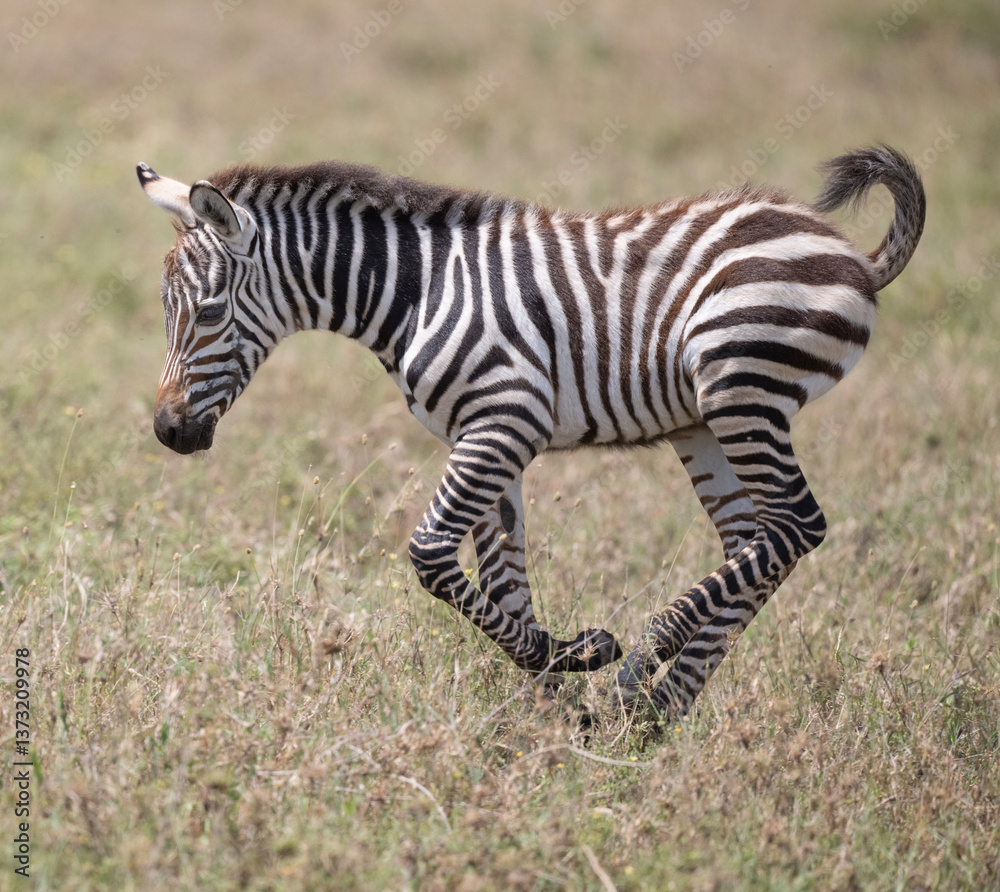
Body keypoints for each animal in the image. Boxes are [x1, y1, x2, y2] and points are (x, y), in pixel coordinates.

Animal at [136, 144, 924, 718]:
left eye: (208, 313)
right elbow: (503, 585)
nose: (169, 431)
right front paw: (549, 703)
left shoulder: (503, 422)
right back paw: (659, 708)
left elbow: (429, 557)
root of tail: (850, 253)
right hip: (705, 421)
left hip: (742, 386)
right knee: (757, 541)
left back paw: (641, 669)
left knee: (796, 524)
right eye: (167, 311)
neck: (415, 294)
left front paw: (580, 659)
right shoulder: (487, 436)